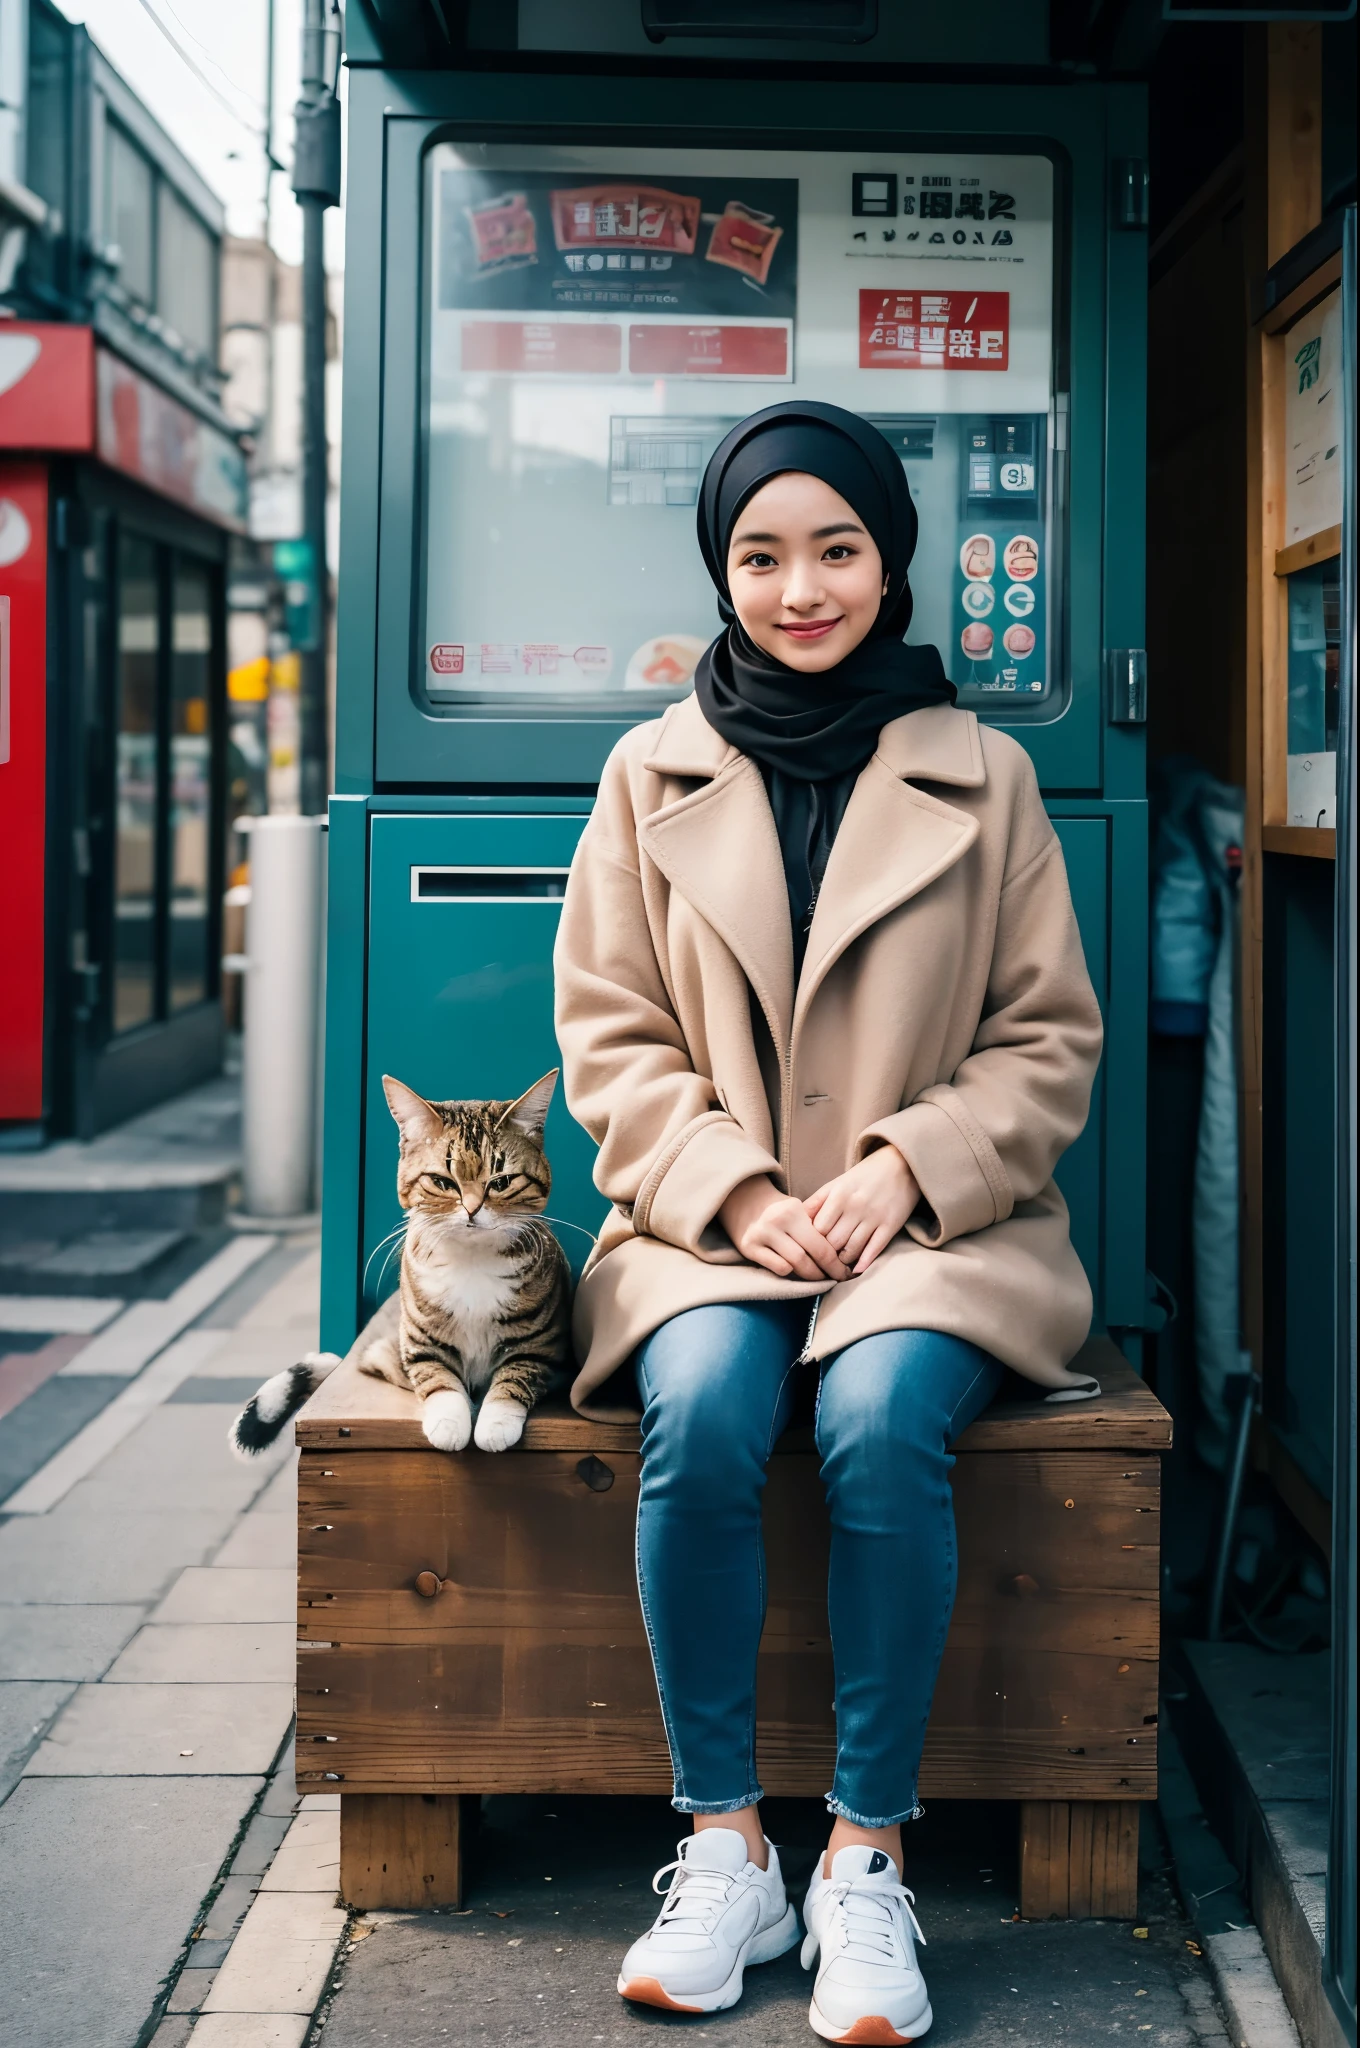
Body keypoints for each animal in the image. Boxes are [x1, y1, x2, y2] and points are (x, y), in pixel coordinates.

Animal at [231, 1073, 569, 1458]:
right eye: (442, 1182)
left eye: (501, 1182)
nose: (471, 1210)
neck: (472, 1261)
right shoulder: (420, 1342)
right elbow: (437, 1378)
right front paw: (450, 1422)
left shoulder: (542, 1344)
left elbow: (518, 1374)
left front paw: (495, 1422)